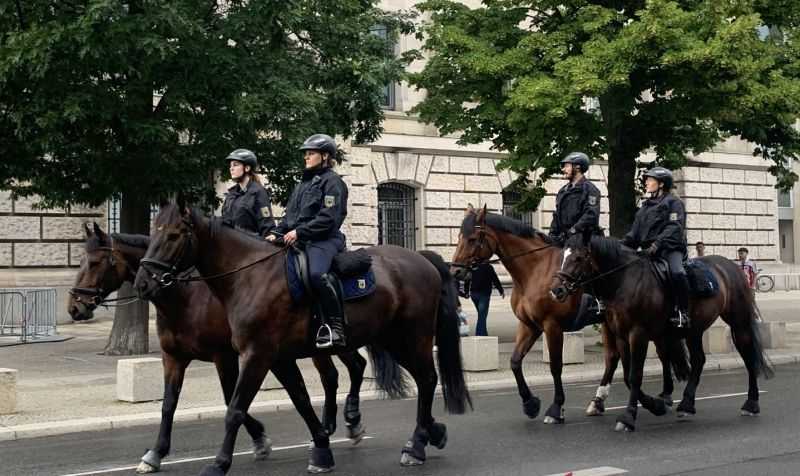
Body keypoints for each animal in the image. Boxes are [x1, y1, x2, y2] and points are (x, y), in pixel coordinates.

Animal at [69, 222, 368, 472]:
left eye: (94, 262)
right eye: (80, 261)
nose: (74, 307)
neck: (187, 297)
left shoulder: (224, 356)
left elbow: (229, 400)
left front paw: (260, 439)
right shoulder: (174, 358)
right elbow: (168, 404)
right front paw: (155, 453)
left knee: (347, 369)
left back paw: (347, 422)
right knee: (340, 372)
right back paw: (333, 427)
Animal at [130, 202, 468, 476]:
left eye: (173, 236)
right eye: (153, 232)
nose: (143, 283)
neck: (248, 277)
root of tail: (423, 260)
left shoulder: (255, 355)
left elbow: (235, 409)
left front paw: (219, 463)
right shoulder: (276, 358)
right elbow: (301, 400)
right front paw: (321, 448)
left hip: (411, 338)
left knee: (426, 378)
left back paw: (415, 445)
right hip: (388, 340)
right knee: (406, 377)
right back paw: (428, 432)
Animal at [450, 206, 680, 422]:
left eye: (472, 239)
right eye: (459, 237)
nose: (455, 272)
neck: (534, 271)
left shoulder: (552, 326)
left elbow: (555, 366)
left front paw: (555, 408)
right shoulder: (529, 325)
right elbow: (515, 361)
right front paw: (530, 404)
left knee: (656, 354)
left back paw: (663, 397)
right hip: (610, 324)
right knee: (614, 358)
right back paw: (599, 401)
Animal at [552, 236, 772, 434]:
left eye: (578, 258)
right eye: (563, 256)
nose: (556, 290)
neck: (625, 281)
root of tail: (732, 265)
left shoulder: (638, 334)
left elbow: (635, 375)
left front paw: (628, 416)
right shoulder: (622, 336)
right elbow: (627, 375)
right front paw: (655, 405)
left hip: (739, 323)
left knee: (748, 358)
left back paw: (751, 403)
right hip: (694, 330)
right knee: (698, 360)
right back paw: (686, 404)